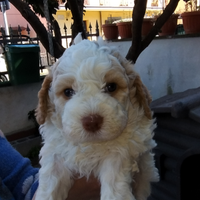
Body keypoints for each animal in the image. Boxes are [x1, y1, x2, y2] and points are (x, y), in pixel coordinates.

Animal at [35, 36, 159, 200]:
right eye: (68, 92)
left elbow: (114, 179)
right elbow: (49, 183)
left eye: (111, 87)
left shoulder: (122, 150)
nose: (92, 121)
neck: (92, 144)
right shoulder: (56, 154)